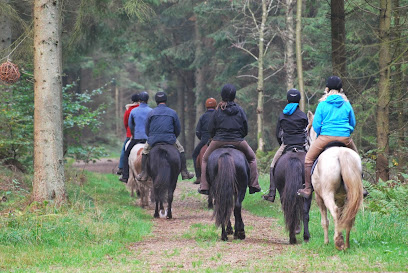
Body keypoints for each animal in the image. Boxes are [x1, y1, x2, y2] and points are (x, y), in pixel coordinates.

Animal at [306, 110, 364, 249]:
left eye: (306, 131)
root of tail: (340, 152)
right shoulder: (341, 198)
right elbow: (342, 216)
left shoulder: (319, 197)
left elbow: (325, 221)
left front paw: (326, 241)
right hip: (351, 194)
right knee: (349, 215)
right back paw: (346, 243)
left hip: (327, 194)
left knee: (335, 211)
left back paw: (338, 241)